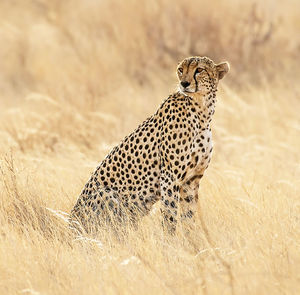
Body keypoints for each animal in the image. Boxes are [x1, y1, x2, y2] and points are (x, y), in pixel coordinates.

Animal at [70, 56, 230, 235]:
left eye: (200, 70)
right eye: (181, 70)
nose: (184, 83)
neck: (202, 110)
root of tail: (70, 225)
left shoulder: (191, 180)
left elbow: (189, 218)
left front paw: (192, 240)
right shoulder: (170, 177)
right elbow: (170, 216)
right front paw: (171, 241)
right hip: (107, 194)